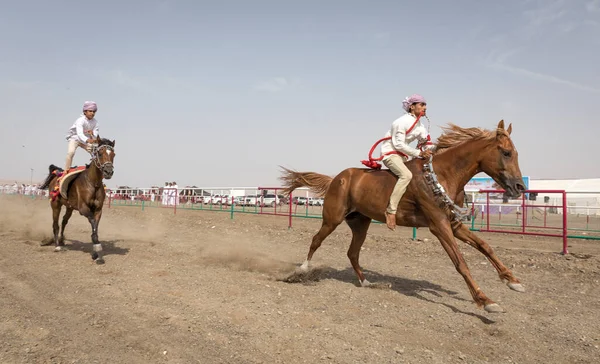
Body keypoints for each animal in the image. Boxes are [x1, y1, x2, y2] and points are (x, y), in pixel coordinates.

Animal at [39, 135, 117, 264]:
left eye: (113, 154)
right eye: (100, 153)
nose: (108, 171)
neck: (93, 183)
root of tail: (57, 174)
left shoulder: (98, 210)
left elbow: (95, 227)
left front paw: (96, 253)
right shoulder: (83, 209)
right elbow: (92, 223)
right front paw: (97, 247)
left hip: (69, 207)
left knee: (64, 221)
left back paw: (61, 241)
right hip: (55, 205)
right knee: (55, 224)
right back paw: (57, 246)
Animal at [280, 120, 524, 312]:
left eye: (515, 153)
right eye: (506, 152)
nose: (519, 186)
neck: (442, 175)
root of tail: (335, 179)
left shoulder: (454, 224)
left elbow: (485, 246)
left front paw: (512, 281)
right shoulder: (439, 226)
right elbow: (460, 262)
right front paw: (485, 300)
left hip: (360, 223)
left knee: (352, 253)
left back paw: (367, 282)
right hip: (332, 219)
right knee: (316, 240)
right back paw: (301, 270)